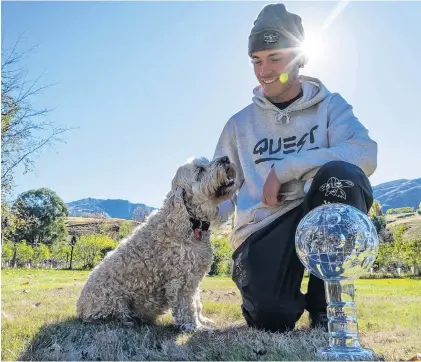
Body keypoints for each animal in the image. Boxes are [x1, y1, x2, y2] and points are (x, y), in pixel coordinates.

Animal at [75, 156, 236, 330]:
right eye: (200, 170)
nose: (226, 158)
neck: (189, 222)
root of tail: (80, 308)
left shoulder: (193, 278)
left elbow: (197, 303)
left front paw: (203, 320)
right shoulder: (181, 280)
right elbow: (187, 307)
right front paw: (195, 327)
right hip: (113, 302)